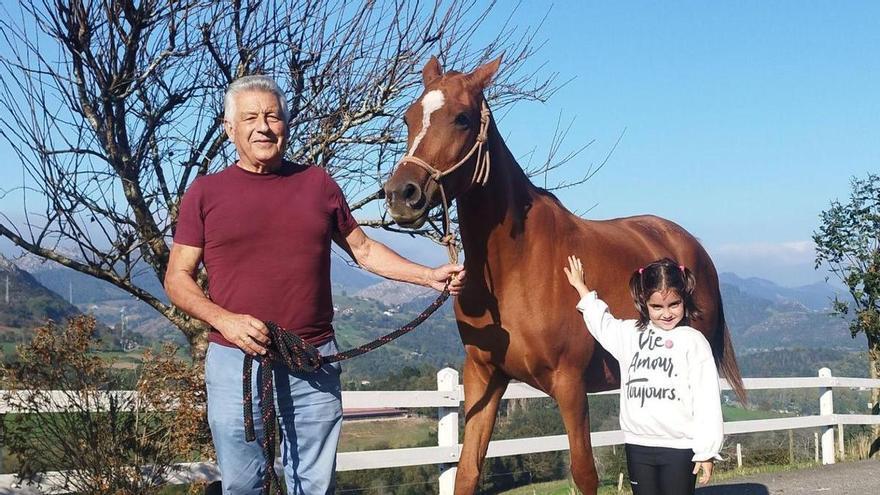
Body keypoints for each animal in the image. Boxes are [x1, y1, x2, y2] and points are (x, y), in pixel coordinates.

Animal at [382, 55, 746, 494]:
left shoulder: (570, 383)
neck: (516, 267)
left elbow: (584, 471)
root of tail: (691, 246)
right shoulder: (484, 376)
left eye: (462, 118)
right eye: (408, 117)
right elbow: (467, 472)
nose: (401, 194)